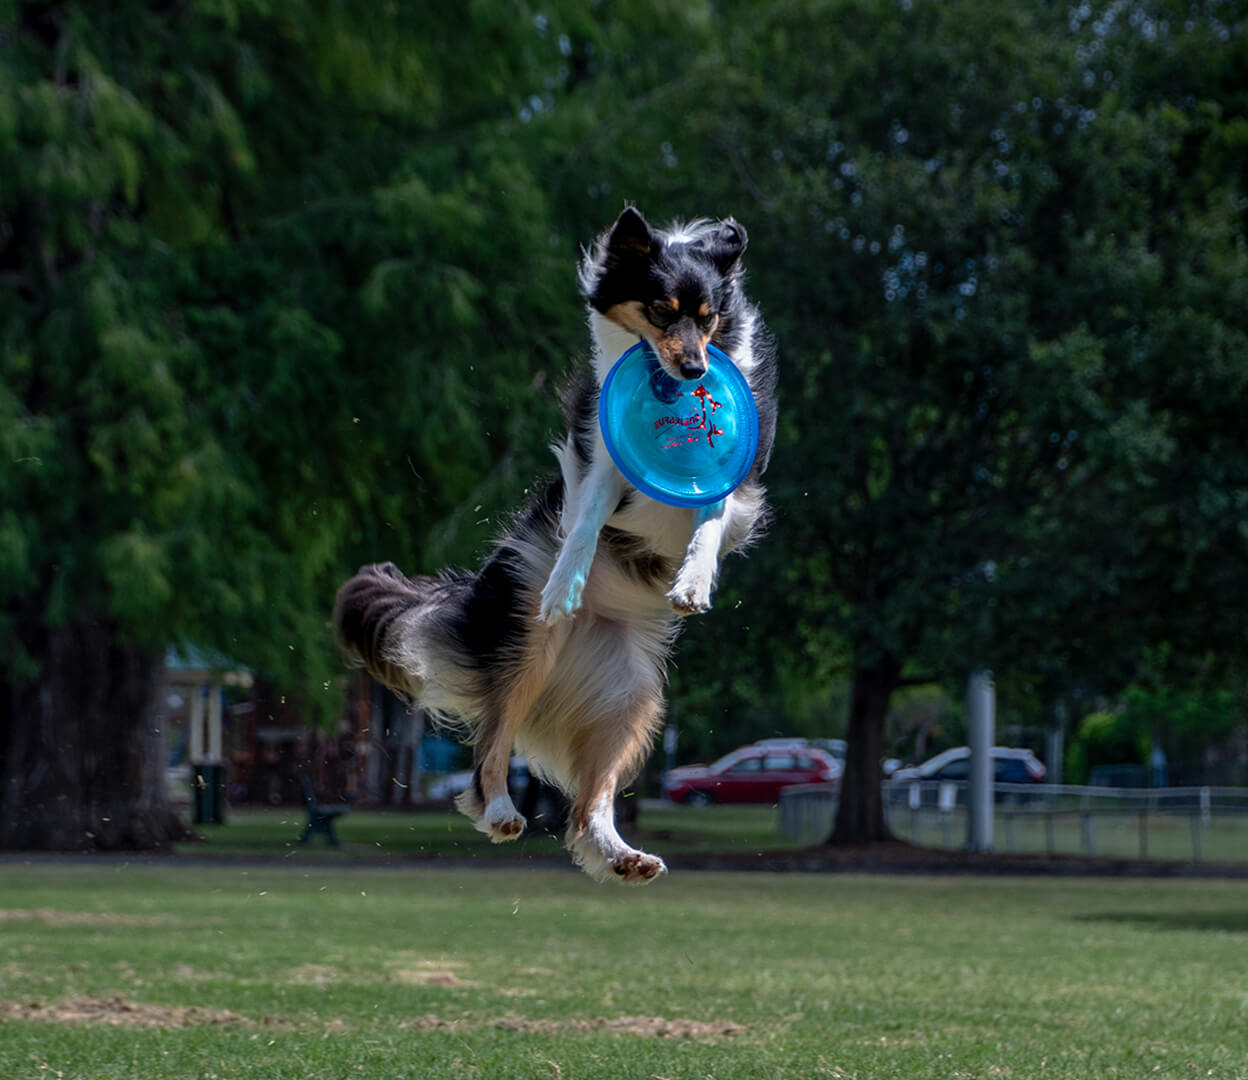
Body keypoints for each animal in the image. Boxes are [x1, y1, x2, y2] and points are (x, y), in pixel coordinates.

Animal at [331, 206, 778, 878]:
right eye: (659, 309)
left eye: (707, 319)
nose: (698, 371)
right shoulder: (602, 460)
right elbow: (587, 516)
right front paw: (568, 580)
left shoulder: (735, 473)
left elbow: (708, 521)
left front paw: (693, 583)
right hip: (526, 642)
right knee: (490, 749)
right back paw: (499, 809)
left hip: (631, 693)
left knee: (587, 803)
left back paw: (620, 854)